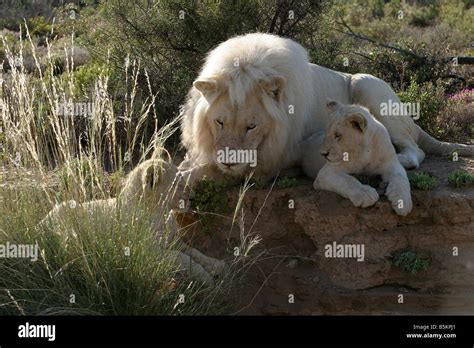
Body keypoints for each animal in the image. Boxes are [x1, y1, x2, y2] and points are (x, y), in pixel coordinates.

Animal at [39, 159, 226, 284]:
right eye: (178, 184)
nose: (193, 197)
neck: (161, 213)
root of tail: (39, 224)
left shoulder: (174, 240)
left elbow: (195, 252)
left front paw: (217, 265)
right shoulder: (149, 251)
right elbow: (182, 258)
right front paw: (206, 277)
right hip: (66, 215)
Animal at [179, 32, 474, 185]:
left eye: (251, 126)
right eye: (219, 123)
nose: (229, 161)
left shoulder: (280, 156)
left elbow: (205, 171)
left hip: (365, 82)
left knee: (415, 149)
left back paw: (396, 159)